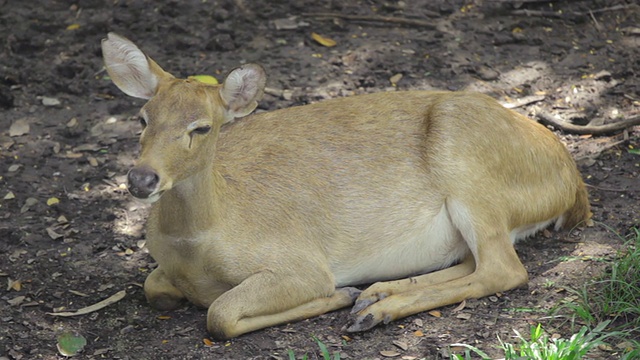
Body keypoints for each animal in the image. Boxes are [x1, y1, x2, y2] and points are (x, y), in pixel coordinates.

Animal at [101, 32, 596, 338]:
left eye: (202, 128)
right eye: (142, 118)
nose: (141, 178)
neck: (196, 248)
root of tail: (573, 185)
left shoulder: (298, 262)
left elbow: (219, 314)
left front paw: (338, 295)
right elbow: (154, 288)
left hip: (469, 165)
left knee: (504, 268)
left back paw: (372, 309)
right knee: (477, 261)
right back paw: (377, 293)